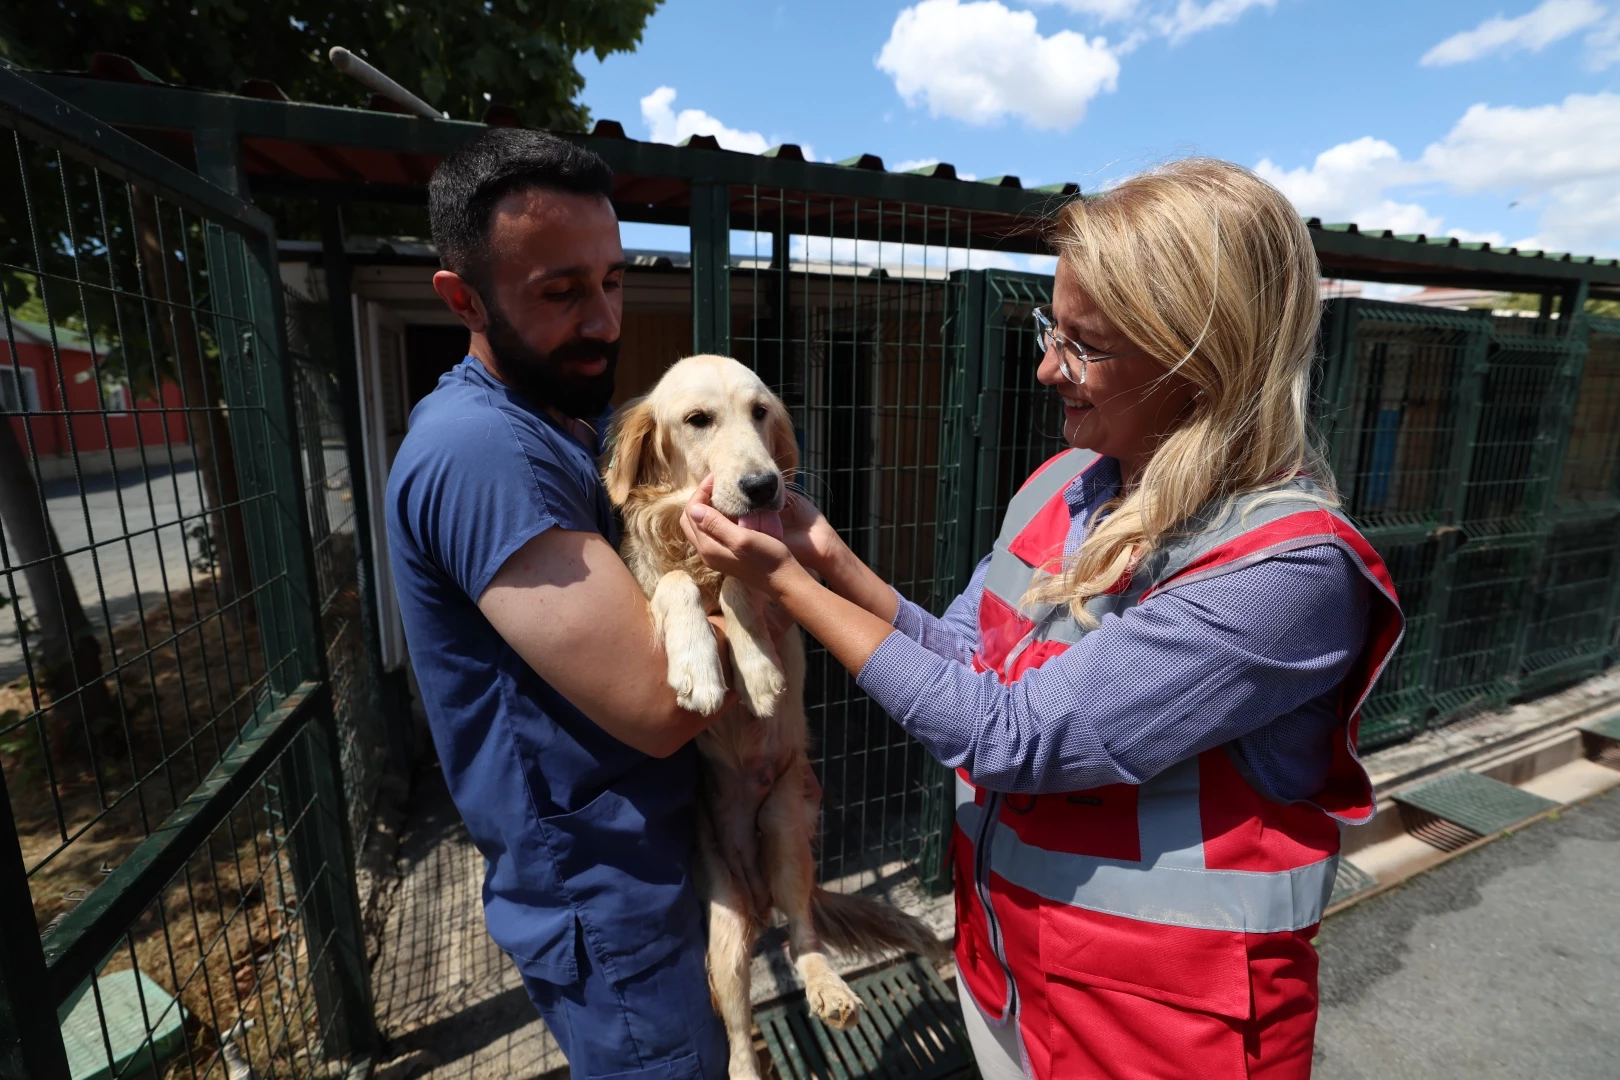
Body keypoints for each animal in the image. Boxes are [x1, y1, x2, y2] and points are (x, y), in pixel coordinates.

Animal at [605, 356, 939, 1080]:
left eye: (760, 413)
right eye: (697, 420)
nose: (762, 487)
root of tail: (757, 895)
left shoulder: (768, 577)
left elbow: (744, 584)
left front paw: (756, 672)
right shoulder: (648, 588)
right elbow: (675, 586)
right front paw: (701, 669)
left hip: (787, 828)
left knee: (801, 934)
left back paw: (829, 989)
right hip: (725, 933)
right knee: (735, 1030)